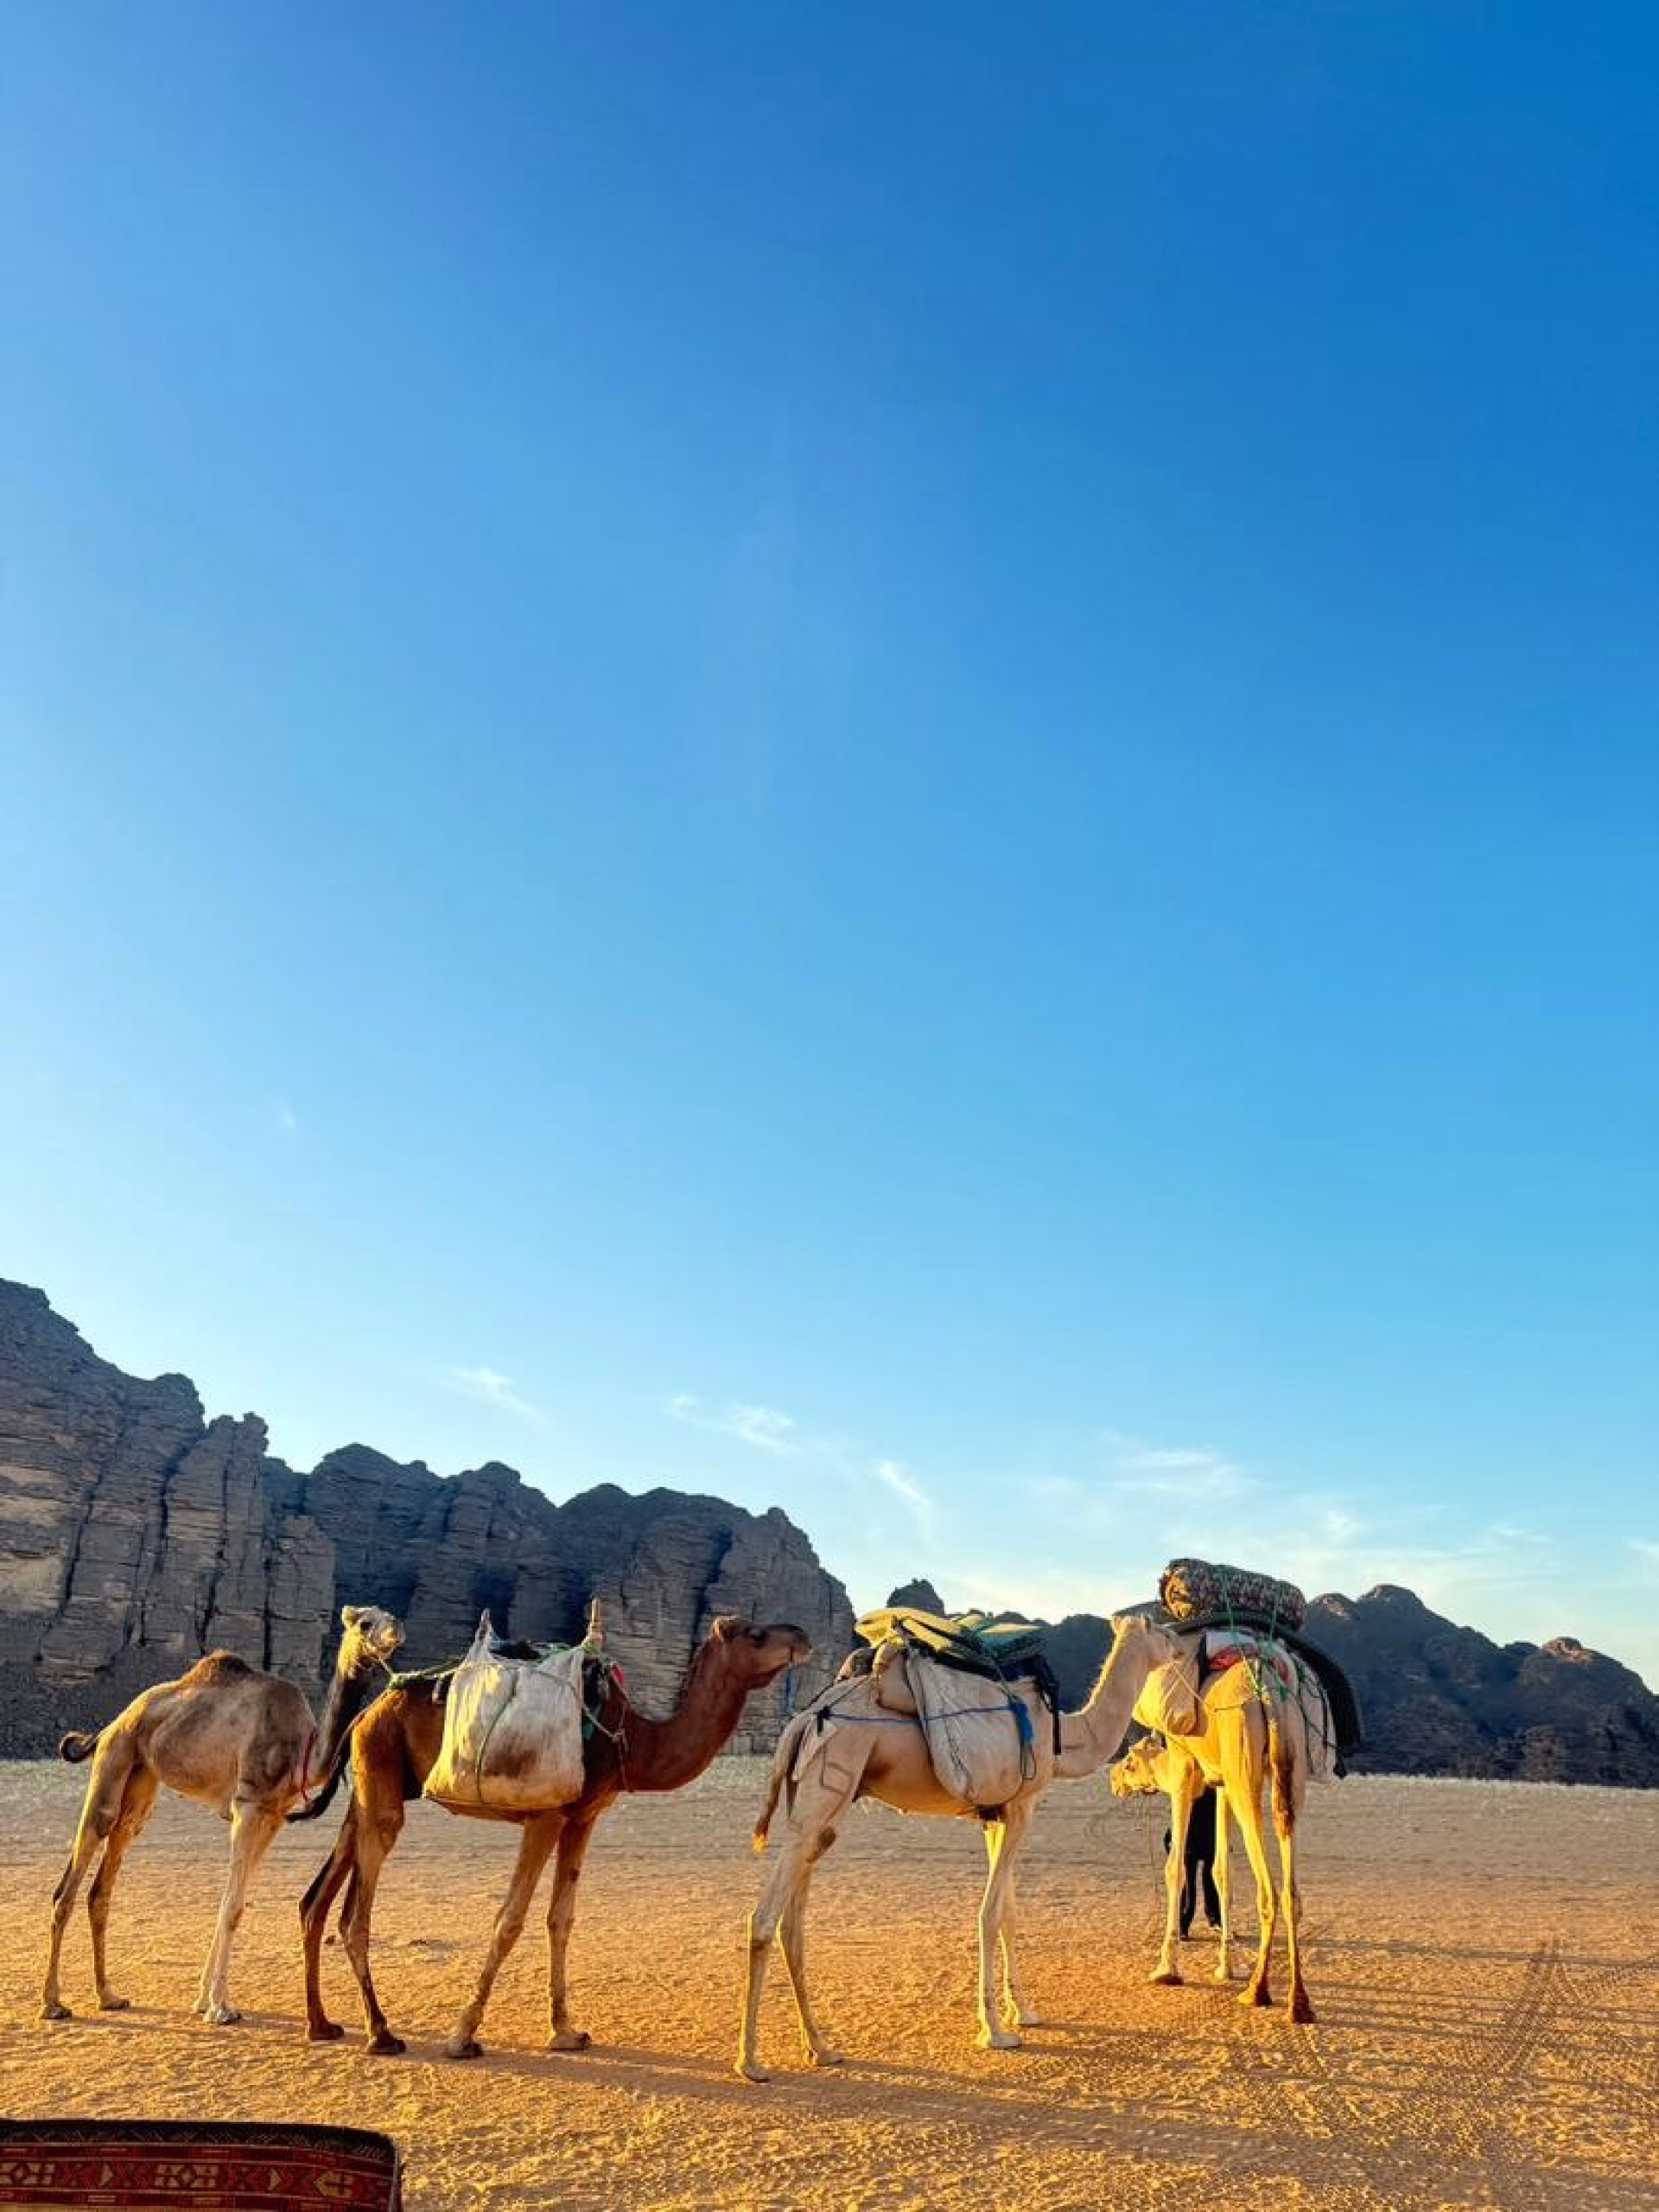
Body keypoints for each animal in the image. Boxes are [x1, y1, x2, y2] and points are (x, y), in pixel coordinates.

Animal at [41, 1603, 405, 2027]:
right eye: (365, 1622)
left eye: (388, 1615)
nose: (396, 1630)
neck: (302, 1751)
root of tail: (114, 1722)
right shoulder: (247, 1805)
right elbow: (232, 1907)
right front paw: (219, 2008)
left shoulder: (273, 1816)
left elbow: (234, 1901)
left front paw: (204, 1999)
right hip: (115, 1756)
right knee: (73, 1877)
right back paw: (53, 2003)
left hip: (141, 1778)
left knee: (107, 1876)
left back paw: (109, 1996)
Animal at [300, 1612, 811, 2058]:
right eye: (756, 1634)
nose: (803, 1637)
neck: (631, 1741)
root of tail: (368, 1712)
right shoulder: (544, 1817)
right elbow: (509, 1920)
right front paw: (463, 2036)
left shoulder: (582, 1819)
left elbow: (560, 1919)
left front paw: (565, 2031)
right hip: (381, 1769)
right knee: (356, 1913)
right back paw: (381, 2033)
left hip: (373, 1787)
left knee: (317, 1899)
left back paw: (322, 2024)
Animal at [735, 1610, 1183, 2081]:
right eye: (1161, 1631)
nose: (1180, 1646)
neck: (1065, 1739)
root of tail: (802, 1720)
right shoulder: (1022, 1807)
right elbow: (990, 1914)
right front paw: (996, 2031)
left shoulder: (995, 1815)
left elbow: (1008, 1913)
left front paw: (1023, 2011)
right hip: (829, 1779)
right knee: (764, 1917)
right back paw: (750, 2060)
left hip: (819, 1801)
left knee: (793, 1922)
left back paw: (820, 2047)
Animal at [1109, 1640, 1318, 2021]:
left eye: (1130, 1763)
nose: (1113, 1780)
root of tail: (1269, 1694)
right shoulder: (1220, 1782)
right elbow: (1222, 1870)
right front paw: (1225, 1966)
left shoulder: (1184, 1770)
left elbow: (1175, 1866)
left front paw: (1166, 1969)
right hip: (1290, 1763)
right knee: (1290, 1881)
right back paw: (1299, 2004)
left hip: (1244, 1761)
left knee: (1267, 1887)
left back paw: (1257, 1990)